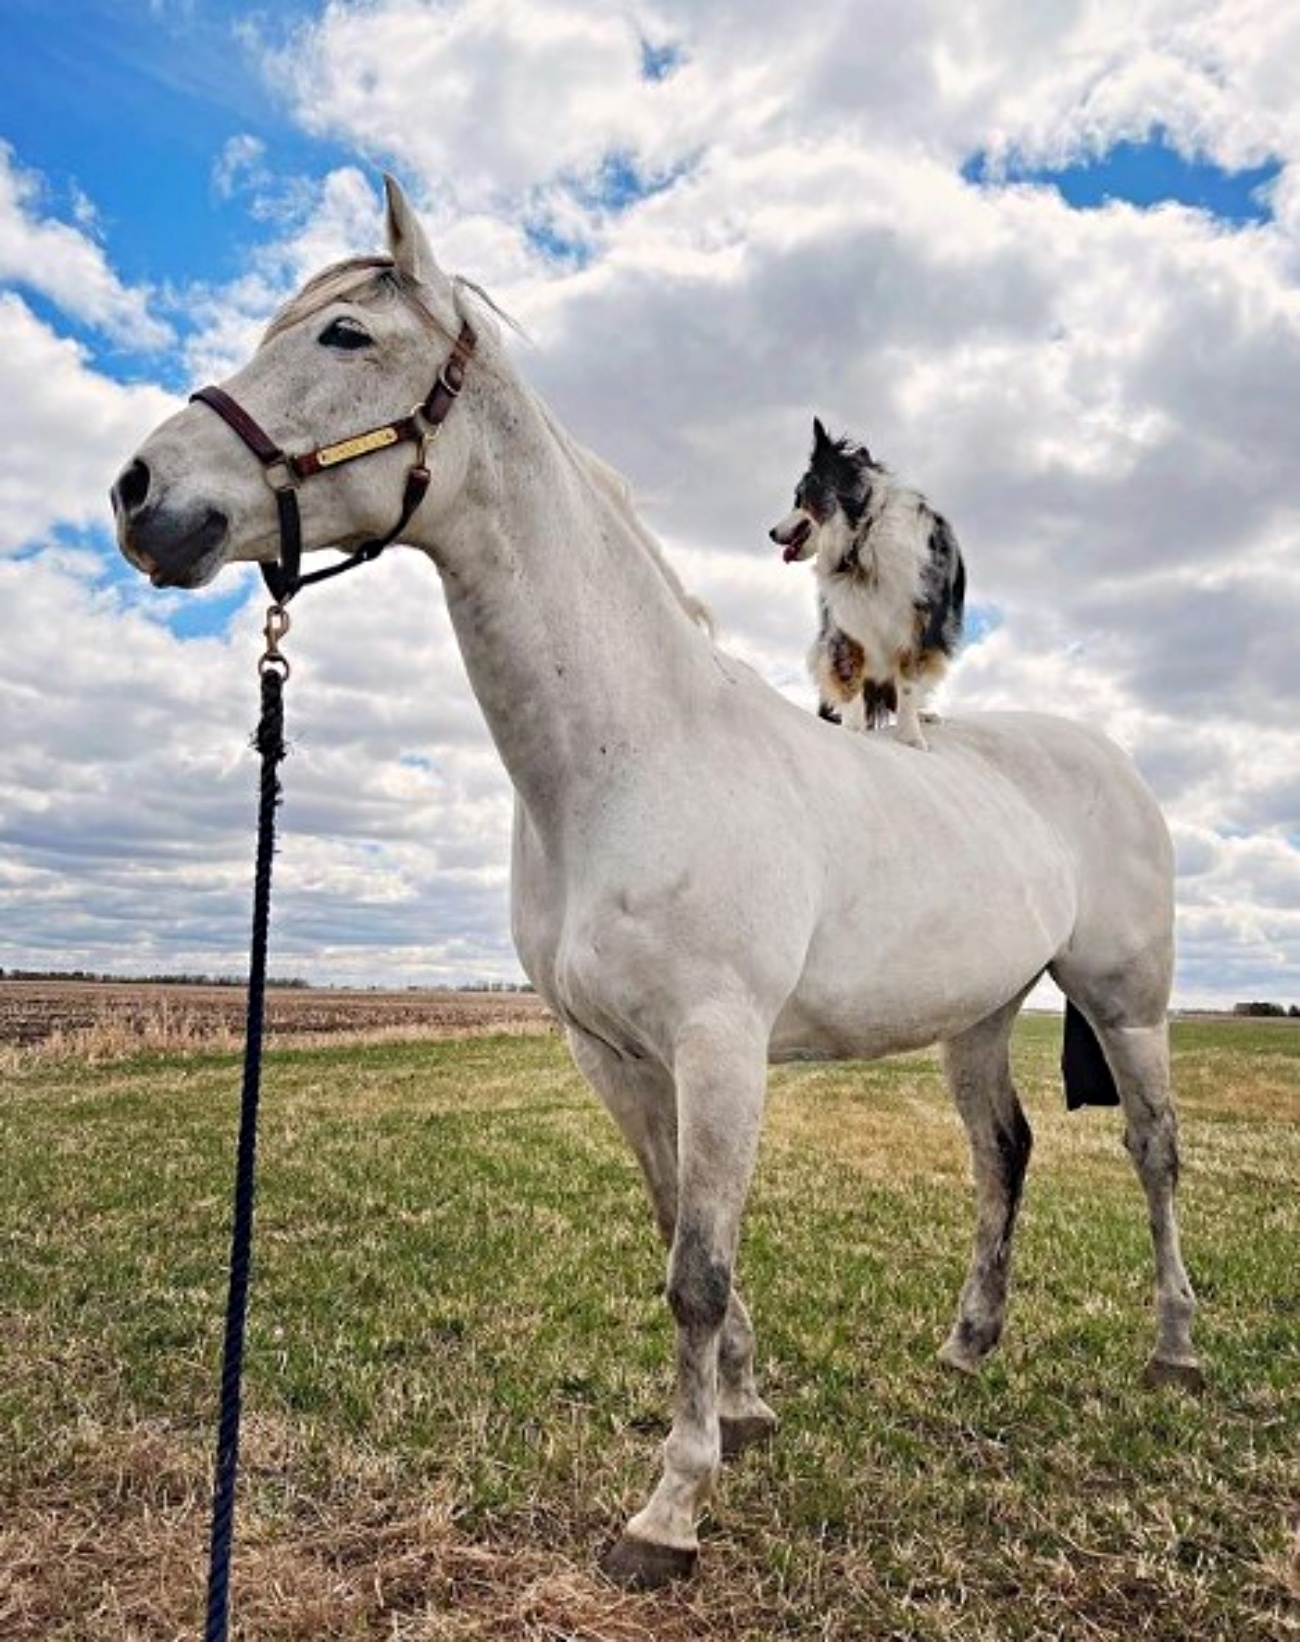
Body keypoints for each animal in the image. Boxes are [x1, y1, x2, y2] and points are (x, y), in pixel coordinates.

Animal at [771, 417, 965, 752]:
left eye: (799, 498)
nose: (771, 533)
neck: (862, 534)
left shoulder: (916, 624)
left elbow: (908, 685)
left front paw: (911, 737)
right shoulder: (844, 624)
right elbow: (850, 681)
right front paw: (852, 729)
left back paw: (923, 715)